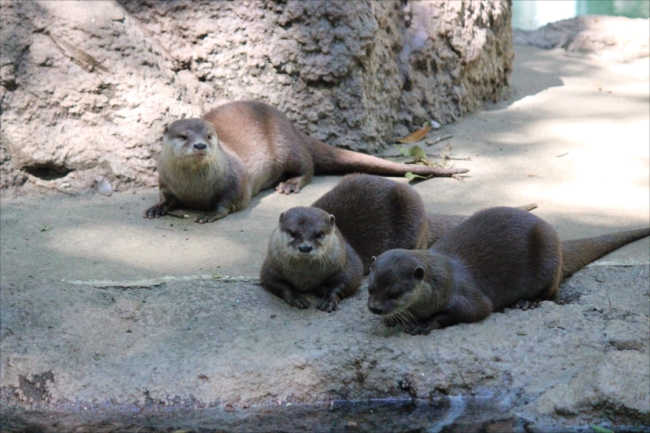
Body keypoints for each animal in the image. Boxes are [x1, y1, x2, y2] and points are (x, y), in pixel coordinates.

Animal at [143, 100, 466, 223]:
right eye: (183, 136)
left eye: (209, 136)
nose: (199, 144)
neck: (194, 189)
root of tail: (291, 125)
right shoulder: (165, 181)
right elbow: (166, 197)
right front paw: (157, 207)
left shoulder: (237, 182)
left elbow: (231, 200)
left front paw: (211, 213)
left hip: (287, 148)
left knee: (308, 167)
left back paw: (290, 184)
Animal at [368, 206, 644, 334]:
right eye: (370, 289)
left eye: (395, 292)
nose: (374, 308)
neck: (440, 283)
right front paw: (393, 319)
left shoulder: (467, 297)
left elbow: (473, 311)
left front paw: (423, 324)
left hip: (548, 254)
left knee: (552, 291)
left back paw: (528, 302)